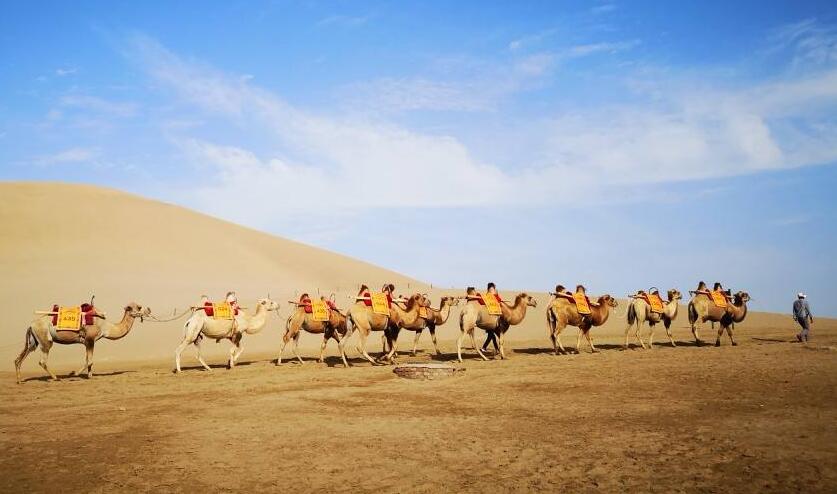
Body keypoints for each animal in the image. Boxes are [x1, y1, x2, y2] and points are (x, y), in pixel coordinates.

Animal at [15, 302, 149, 386]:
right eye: (139, 307)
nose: (149, 309)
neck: (105, 326)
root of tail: (31, 325)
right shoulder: (90, 339)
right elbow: (89, 361)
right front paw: (76, 373)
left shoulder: (88, 342)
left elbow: (88, 360)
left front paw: (89, 376)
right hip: (45, 340)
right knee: (42, 361)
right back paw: (56, 378)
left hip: (34, 341)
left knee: (20, 358)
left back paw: (19, 380)